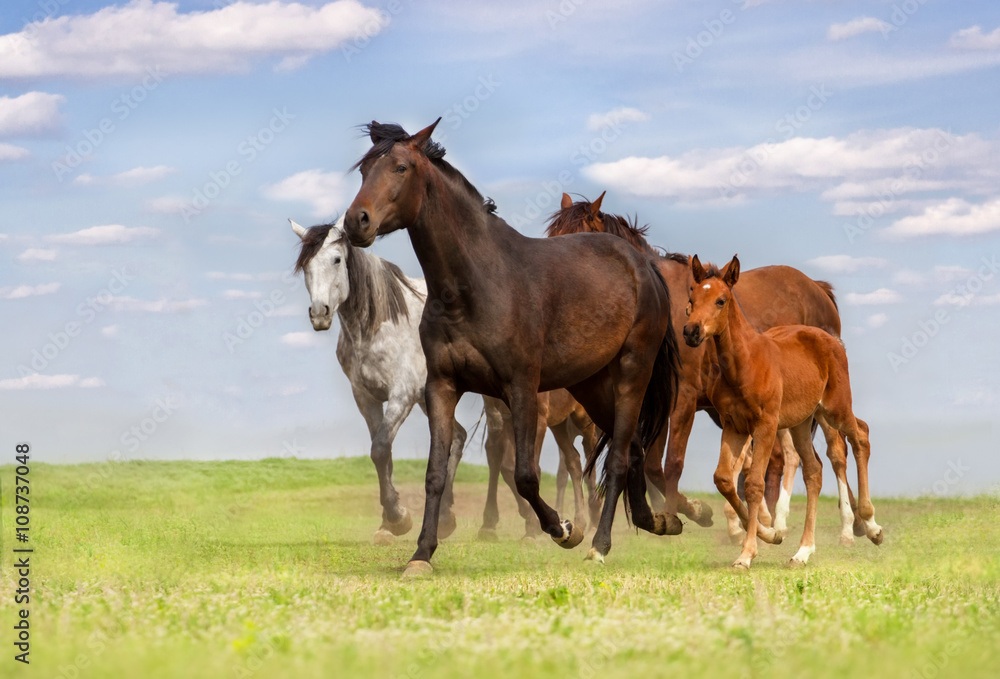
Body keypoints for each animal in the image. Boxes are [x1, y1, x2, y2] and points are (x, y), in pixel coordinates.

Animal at [290, 219, 468, 548]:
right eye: (305, 265)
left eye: (336, 260)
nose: (319, 313)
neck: (379, 324)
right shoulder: (367, 398)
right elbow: (382, 454)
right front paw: (390, 521)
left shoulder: (402, 395)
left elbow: (381, 447)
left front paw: (398, 518)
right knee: (458, 438)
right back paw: (446, 518)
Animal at [342, 118, 680, 572]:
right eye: (364, 170)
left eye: (400, 167)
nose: (355, 222)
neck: (476, 284)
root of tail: (643, 265)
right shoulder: (442, 386)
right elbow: (436, 474)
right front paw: (422, 554)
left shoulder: (521, 389)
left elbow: (524, 475)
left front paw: (563, 530)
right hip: (592, 385)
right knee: (635, 450)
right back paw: (657, 521)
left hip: (631, 374)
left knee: (620, 456)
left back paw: (600, 544)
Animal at [548, 193, 868, 540]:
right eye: (551, 239)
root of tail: (818, 289)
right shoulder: (658, 402)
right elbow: (652, 466)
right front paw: (693, 511)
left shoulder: (684, 399)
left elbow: (672, 463)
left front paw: (682, 514)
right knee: (789, 459)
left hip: (823, 403)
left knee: (835, 452)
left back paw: (847, 525)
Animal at [680, 255, 884, 568]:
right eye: (691, 298)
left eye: (721, 300)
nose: (692, 332)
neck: (745, 363)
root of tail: (830, 338)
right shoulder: (733, 425)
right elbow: (724, 479)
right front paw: (770, 533)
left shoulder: (765, 425)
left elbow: (754, 484)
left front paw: (747, 553)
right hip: (803, 421)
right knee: (813, 470)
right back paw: (803, 551)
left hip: (835, 409)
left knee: (860, 435)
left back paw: (871, 526)